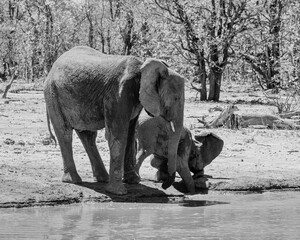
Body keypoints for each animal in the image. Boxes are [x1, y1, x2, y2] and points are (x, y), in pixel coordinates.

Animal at [44, 46, 185, 195]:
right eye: (176, 98)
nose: (164, 185)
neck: (142, 67)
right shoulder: (117, 94)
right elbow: (118, 135)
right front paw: (118, 192)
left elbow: (130, 135)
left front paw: (133, 181)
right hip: (52, 93)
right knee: (64, 132)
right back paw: (74, 180)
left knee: (87, 135)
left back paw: (102, 178)